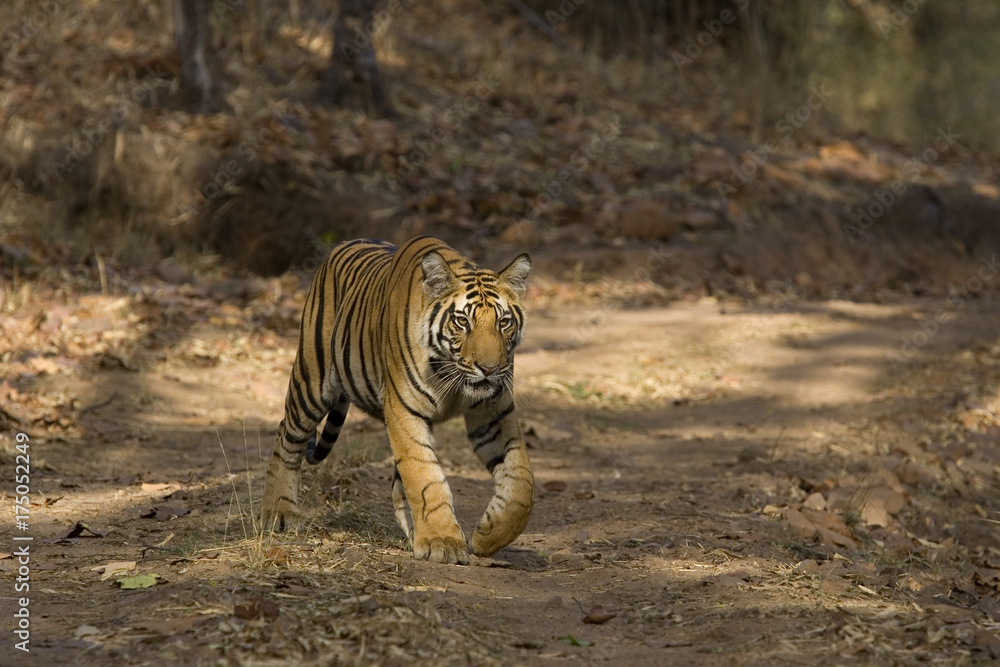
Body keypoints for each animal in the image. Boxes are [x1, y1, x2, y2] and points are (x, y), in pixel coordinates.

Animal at [261, 236, 534, 564]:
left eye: (504, 322)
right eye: (462, 322)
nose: (490, 369)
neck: (452, 378)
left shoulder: (494, 413)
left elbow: (521, 481)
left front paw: (488, 536)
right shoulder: (404, 411)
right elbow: (424, 476)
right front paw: (443, 542)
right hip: (312, 381)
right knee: (286, 438)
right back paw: (279, 513)